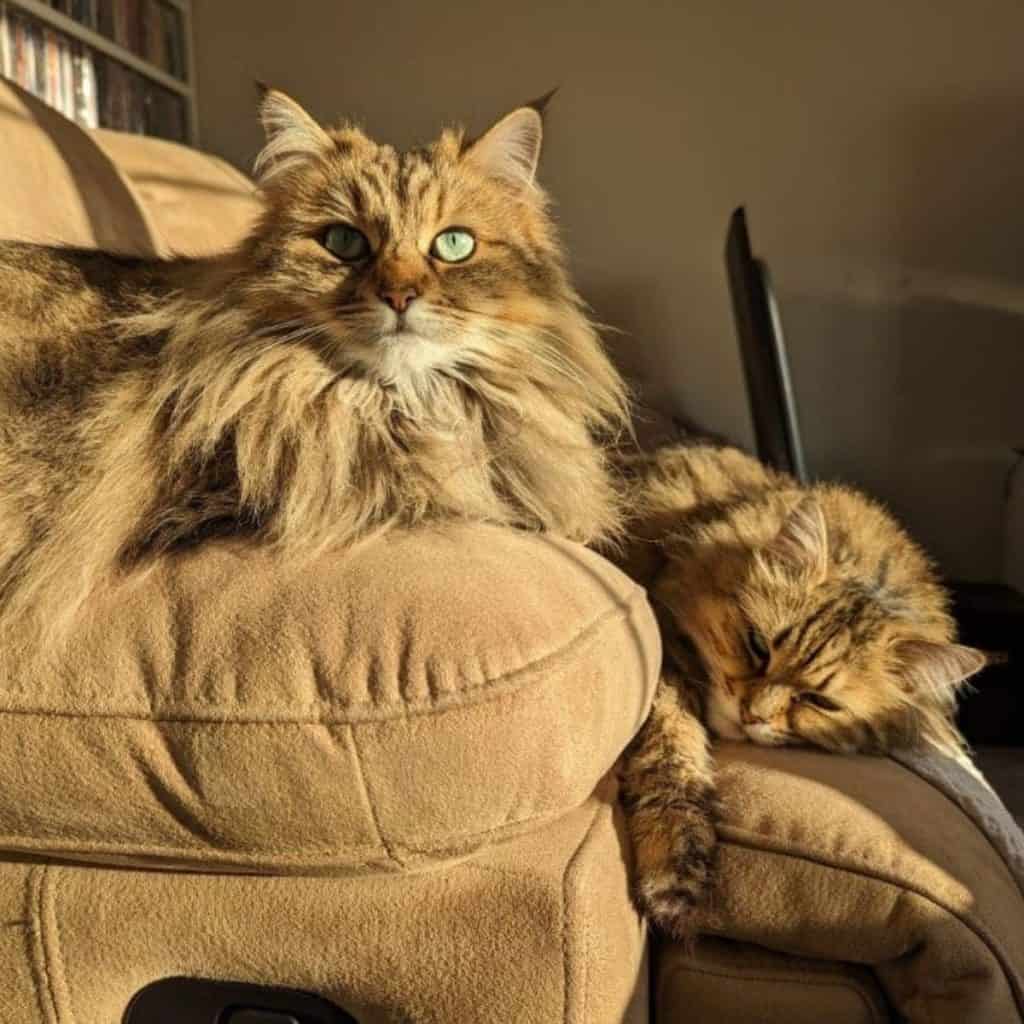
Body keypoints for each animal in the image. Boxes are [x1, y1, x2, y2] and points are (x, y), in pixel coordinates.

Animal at [614, 440, 986, 938]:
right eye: (757, 646)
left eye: (819, 701)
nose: (751, 714)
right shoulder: (663, 652)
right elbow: (672, 751)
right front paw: (675, 861)